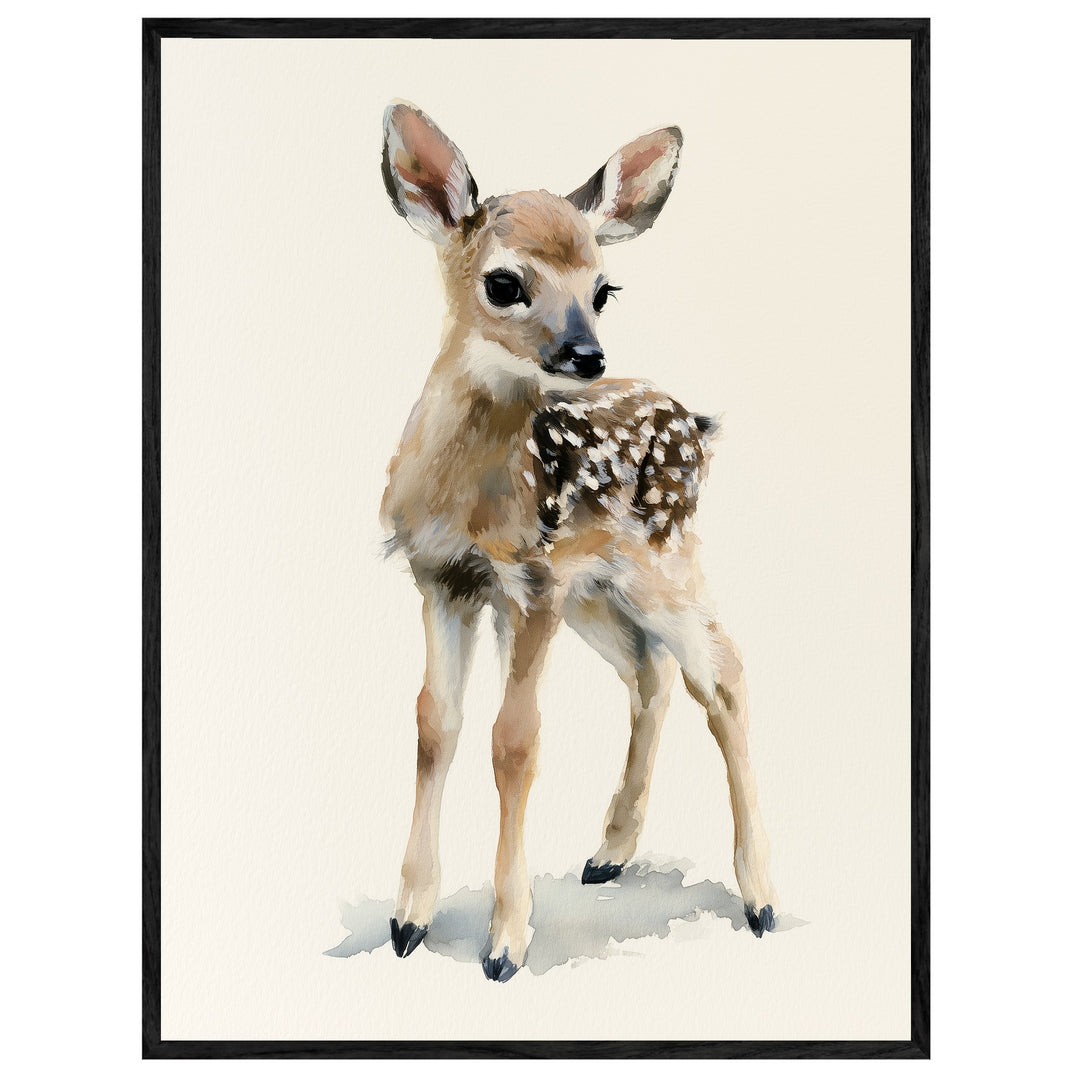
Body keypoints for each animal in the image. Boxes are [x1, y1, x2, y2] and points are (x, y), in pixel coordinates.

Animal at [378, 102, 778, 982]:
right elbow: (434, 725)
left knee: (723, 674)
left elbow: (514, 741)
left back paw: (761, 898)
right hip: (596, 592)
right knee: (649, 673)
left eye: (604, 288)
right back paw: (610, 851)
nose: (586, 354)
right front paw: (408, 919)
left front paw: (505, 943)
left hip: (660, 562)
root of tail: (695, 423)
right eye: (504, 282)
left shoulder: (529, 584)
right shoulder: (442, 580)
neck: (469, 497)